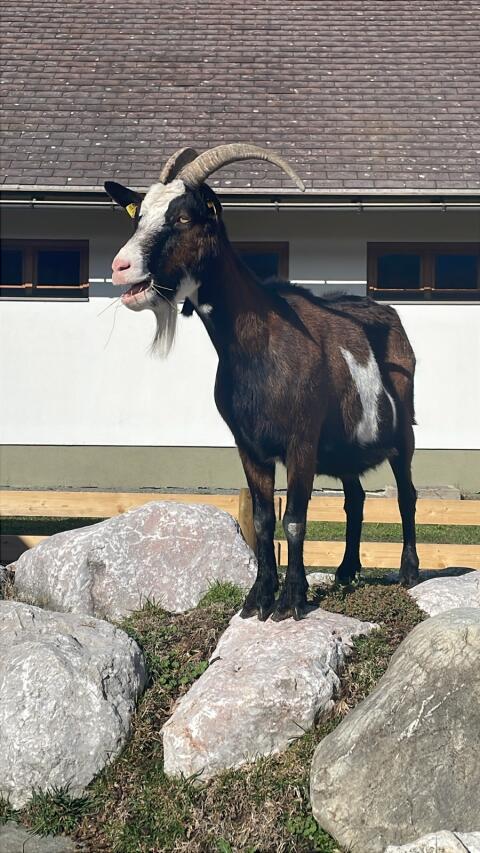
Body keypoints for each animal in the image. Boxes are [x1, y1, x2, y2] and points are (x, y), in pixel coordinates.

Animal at [105, 143, 419, 621]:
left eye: (183, 217)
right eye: (137, 215)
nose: (121, 267)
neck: (260, 342)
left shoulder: (301, 440)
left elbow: (295, 518)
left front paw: (293, 600)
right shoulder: (249, 445)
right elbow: (263, 518)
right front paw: (258, 598)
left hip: (404, 432)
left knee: (406, 494)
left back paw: (408, 571)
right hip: (346, 448)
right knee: (356, 499)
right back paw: (346, 571)